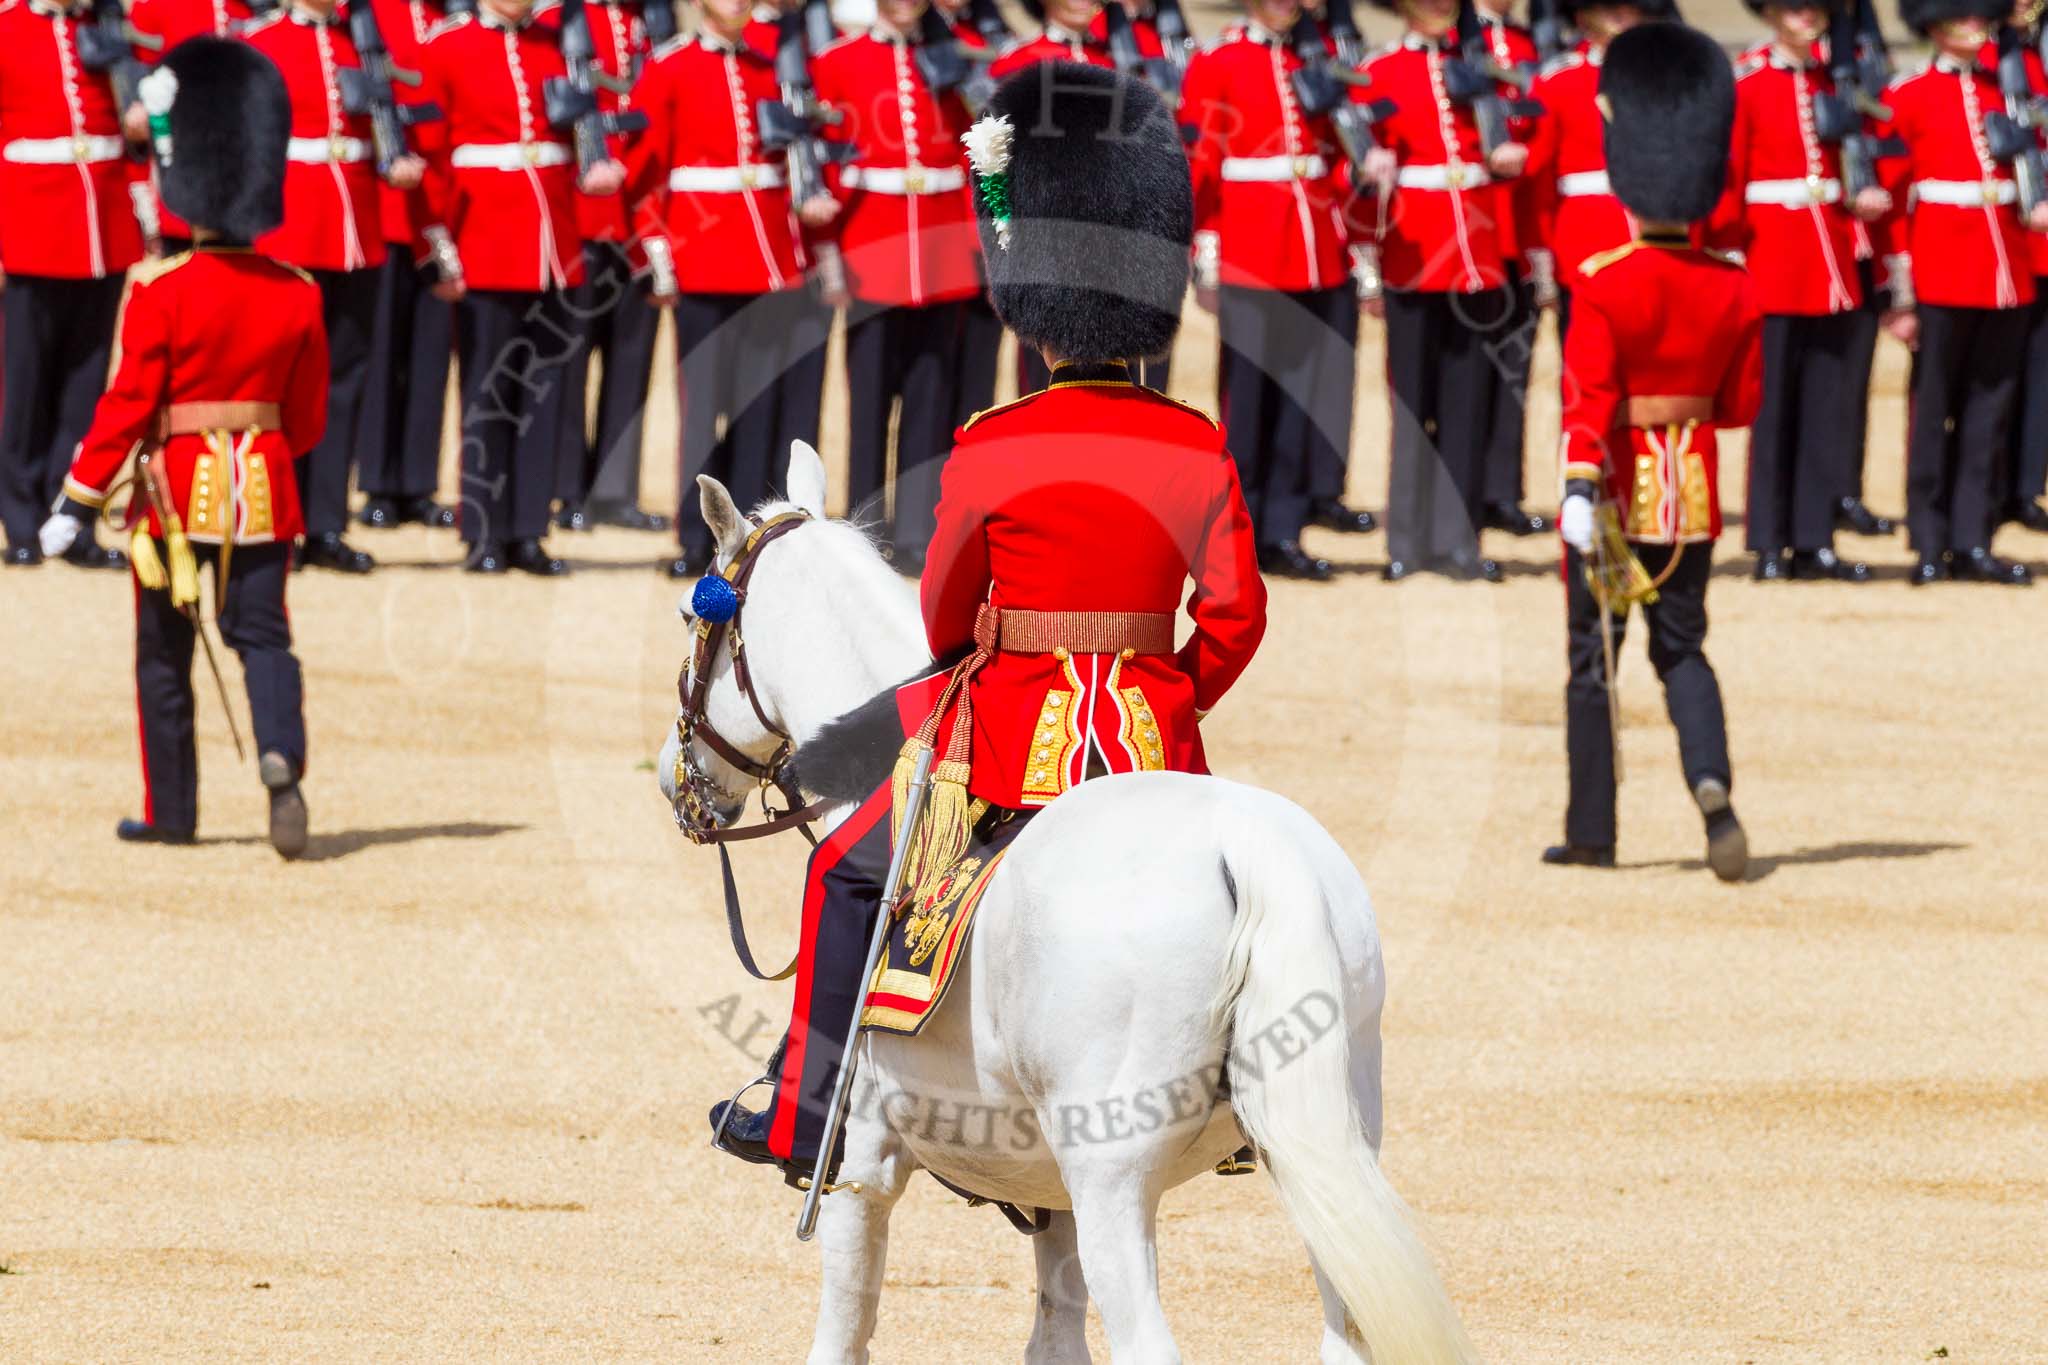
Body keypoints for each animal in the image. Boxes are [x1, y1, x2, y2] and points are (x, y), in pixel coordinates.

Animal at [659, 443, 1477, 1365]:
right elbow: (1056, 1329)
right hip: (1324, 1152)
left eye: (693, 615)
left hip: (1115, 1178)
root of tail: (1251, 850)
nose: (673, 776)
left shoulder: (861, 1167)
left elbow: (843, 1330)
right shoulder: (1049, 1194)